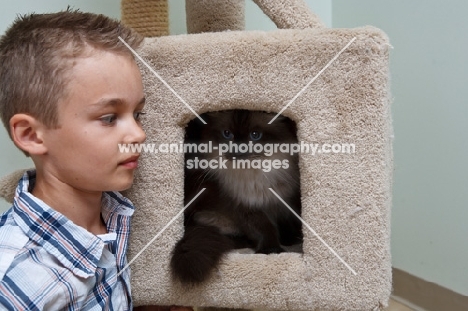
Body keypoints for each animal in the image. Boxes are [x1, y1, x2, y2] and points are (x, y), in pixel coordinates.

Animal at [170, 109, 302, 286]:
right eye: (227, 134)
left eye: (255, 135)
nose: (238, 149)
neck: (253, 176)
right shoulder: (244, 207)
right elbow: (264, 228)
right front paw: (271, 250)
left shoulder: (286, 201)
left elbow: (290, 223)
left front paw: (289, 242)